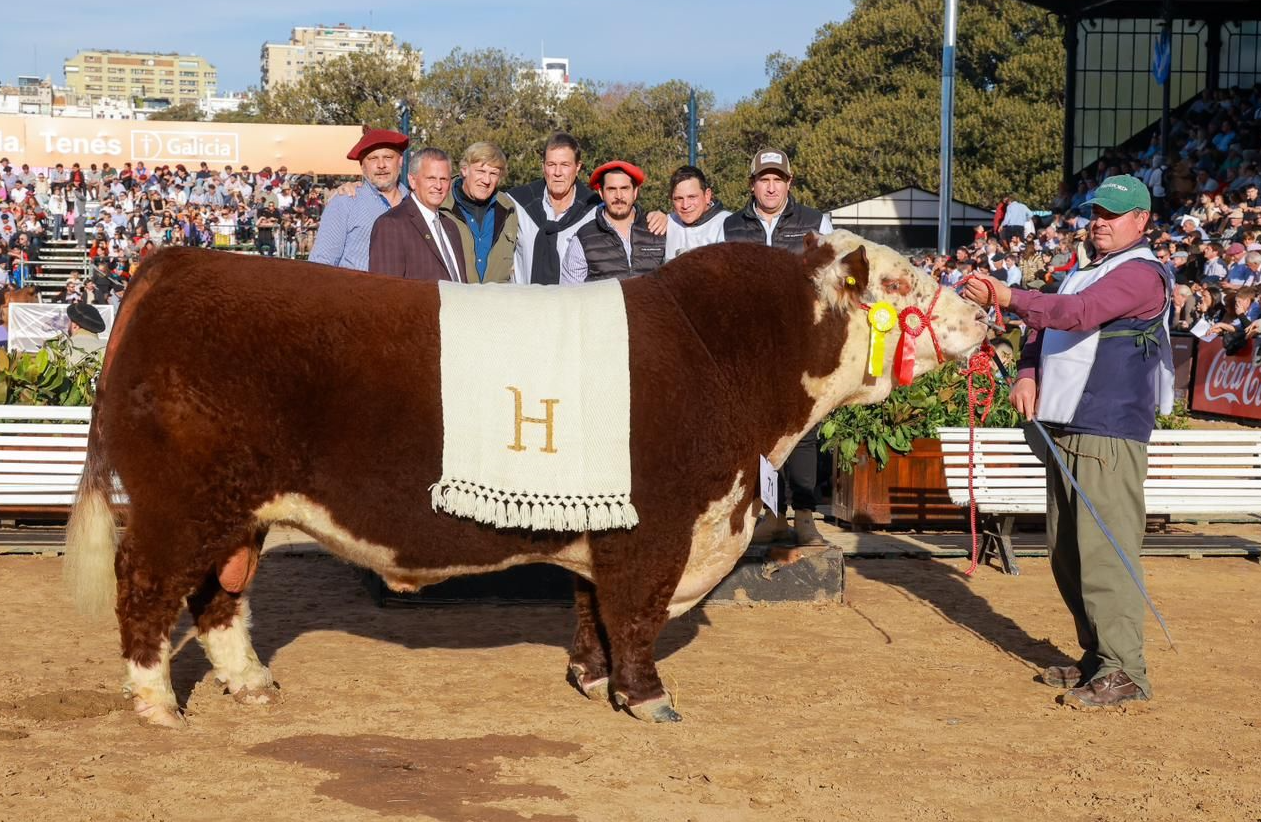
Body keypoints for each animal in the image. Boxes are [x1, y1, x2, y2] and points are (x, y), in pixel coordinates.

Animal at [63, 230, 988, 726]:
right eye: (903, 281)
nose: (983, 312)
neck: (724, 357)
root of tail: (175, 263)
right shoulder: (657, 531)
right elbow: (636, 620)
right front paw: (647, 700)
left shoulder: (608, 525)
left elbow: (593, 615)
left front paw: (591, 681)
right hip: (181, 506)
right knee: (146, 590)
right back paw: (156, 703)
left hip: (237, 512)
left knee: (219, 598)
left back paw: (251, 684)